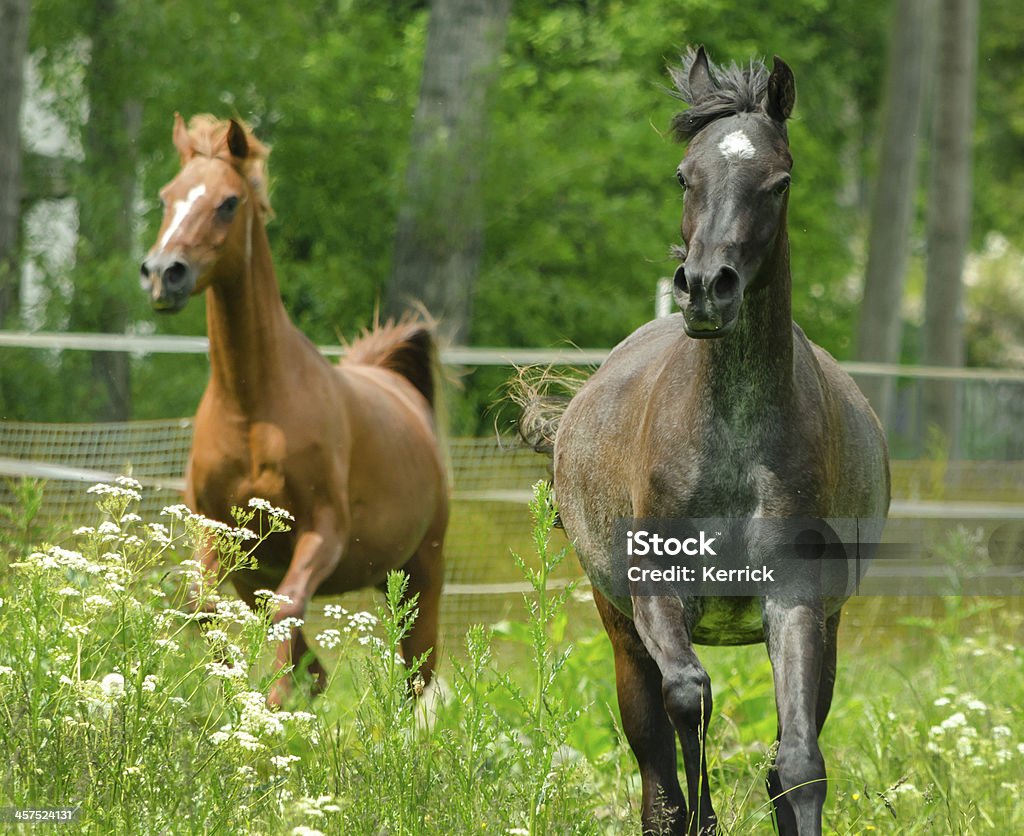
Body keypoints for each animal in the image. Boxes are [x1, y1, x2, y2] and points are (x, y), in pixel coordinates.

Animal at [140, 114, 448, 700]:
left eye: (229, 202)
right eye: (167, 196)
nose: (164, 273)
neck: (253, 406)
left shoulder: (323, 531)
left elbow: (286, 612)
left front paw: (272, 706)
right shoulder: (219, 533)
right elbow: (203, 607)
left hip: (423, 572)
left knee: (417, 675)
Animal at [544, 50, 888, 836]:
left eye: (779, 181)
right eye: (684, 175)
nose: (706, 288)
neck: (732, 444)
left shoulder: (796, 598)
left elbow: (798, 762)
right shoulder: (656, 593)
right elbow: (687, 700)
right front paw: (703, 815)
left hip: (830, 626)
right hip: (618, 625)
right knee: (653, 752)